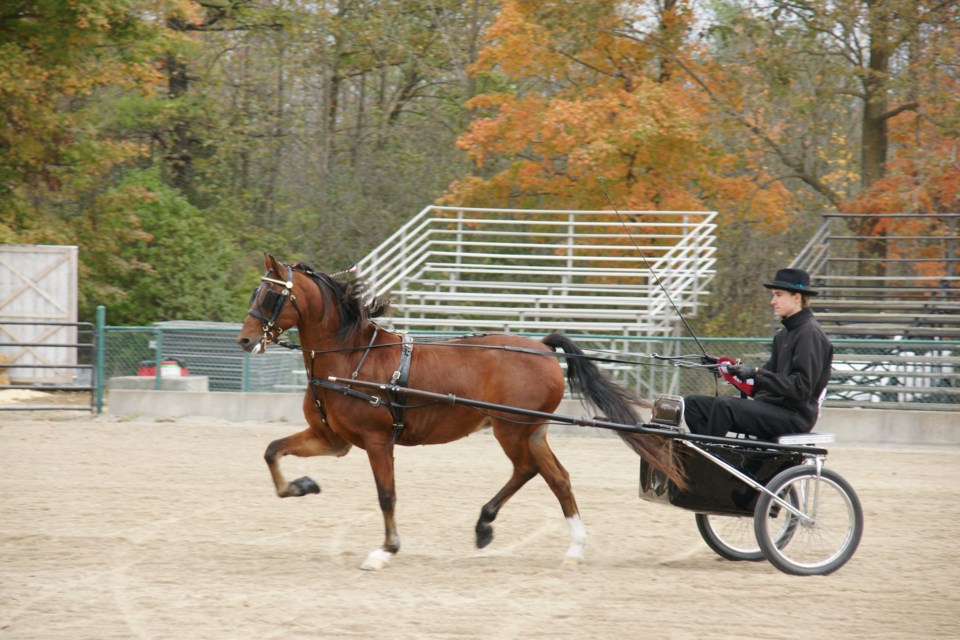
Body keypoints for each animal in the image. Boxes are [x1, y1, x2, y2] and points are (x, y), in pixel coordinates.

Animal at [238, 252, 684, 568]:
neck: (351, 356)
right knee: (557, 478)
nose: (244, 340)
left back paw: (487, 524)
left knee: (528, 470)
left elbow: (387, 495)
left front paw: (386, 550)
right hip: (533, 431)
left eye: (273, 295)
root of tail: (541, 347)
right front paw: (302, 485)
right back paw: (572, 547)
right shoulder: (332, 439)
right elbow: (272, 450)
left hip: (511, 429)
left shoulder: (378, 443)